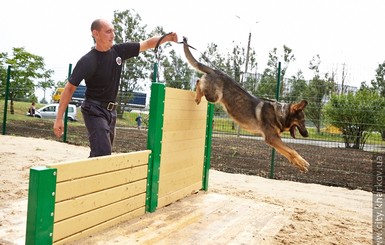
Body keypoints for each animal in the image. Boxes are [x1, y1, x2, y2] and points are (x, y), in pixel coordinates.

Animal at [182, 37, 308, 172]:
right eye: (303, 121)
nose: (307, 135)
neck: (281, 113)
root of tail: (215, 70)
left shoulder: (274, 140)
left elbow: (288, 152)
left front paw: (299, 164)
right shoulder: (272, 138)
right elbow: (292, 150)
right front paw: (303, 163)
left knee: (199, 80)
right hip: (214, 96)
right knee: (198, 81)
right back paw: (197, 96)